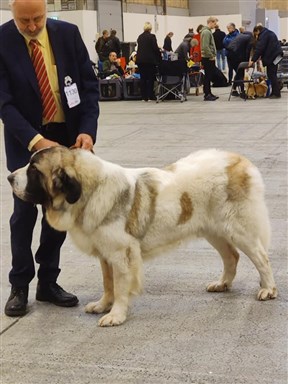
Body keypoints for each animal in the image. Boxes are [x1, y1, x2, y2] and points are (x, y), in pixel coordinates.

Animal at [9, 147, 278, 328]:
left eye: (33, 170)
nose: (10, 177)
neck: (90, 191)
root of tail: (240, 160)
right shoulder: (106, 254)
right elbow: (108, 283)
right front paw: (102, 305)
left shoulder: (121, 254)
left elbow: (120, 286)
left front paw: (116, 315)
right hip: (213, 230)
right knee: (231, 256)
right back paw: (222, 284)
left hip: (240, 230)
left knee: (261, 258)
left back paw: (268, 290)